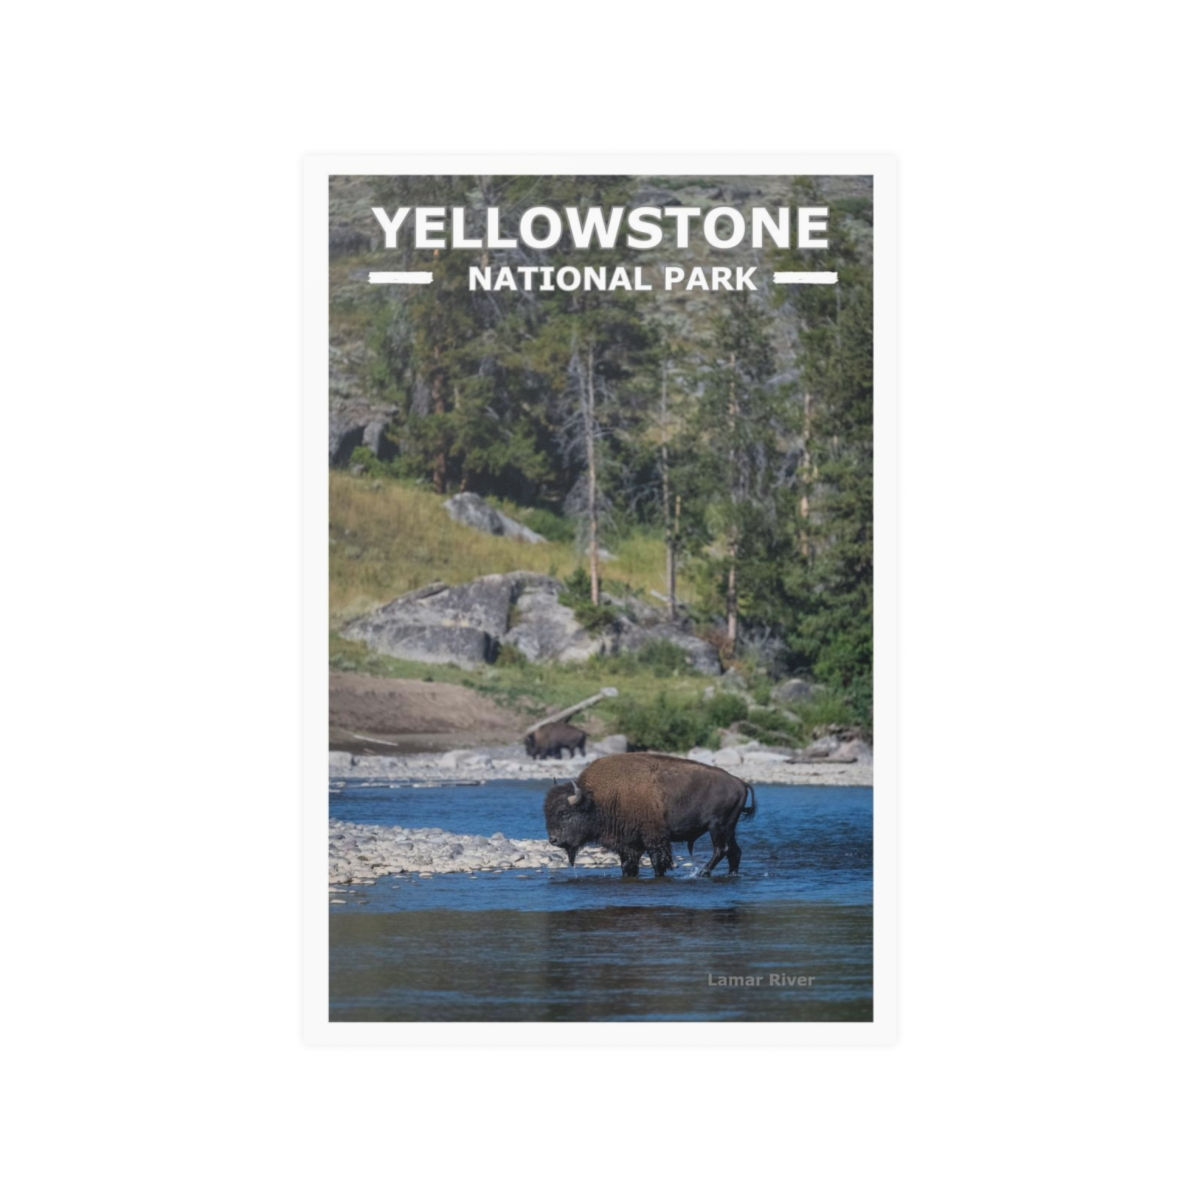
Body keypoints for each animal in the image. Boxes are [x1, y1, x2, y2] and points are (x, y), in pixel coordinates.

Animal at [543, 752, 756, 878]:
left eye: (564, 812)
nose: (553, 840)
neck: (597, 798)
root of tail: (740, 782)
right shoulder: (629, 844)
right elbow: (628, 865)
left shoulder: (655, 840)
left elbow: (658, 863)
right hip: (729, 828)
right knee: (734, 852)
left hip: (717, 827)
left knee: (721, 850)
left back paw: (703, 872)